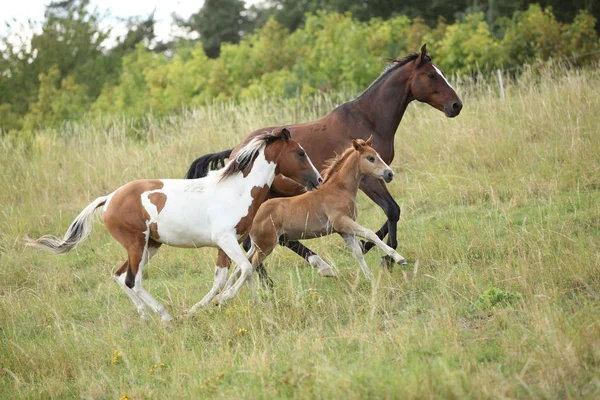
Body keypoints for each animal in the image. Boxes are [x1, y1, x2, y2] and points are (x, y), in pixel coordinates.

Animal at [27, 129, 324, 322]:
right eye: (300, 153)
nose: (319, 180)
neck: (236, 190)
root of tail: (109, 198)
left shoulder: (229, 244)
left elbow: (231, 275)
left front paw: (249, 304)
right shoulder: (226, 240)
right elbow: (246, 269)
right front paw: (223, 302)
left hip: (150, 246)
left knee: (120, 276)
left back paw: (145, 316)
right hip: (137, 244)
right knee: (133, 280)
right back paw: (165, 316)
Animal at [188, 43, 464, 276]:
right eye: (431, 75)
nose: (456, 105)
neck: (366, 118)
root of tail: (236, 151)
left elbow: (388, 215)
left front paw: (366, 247)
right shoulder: (369, 179)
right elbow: (392, 210)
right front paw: (386, 256)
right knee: (255, 241)